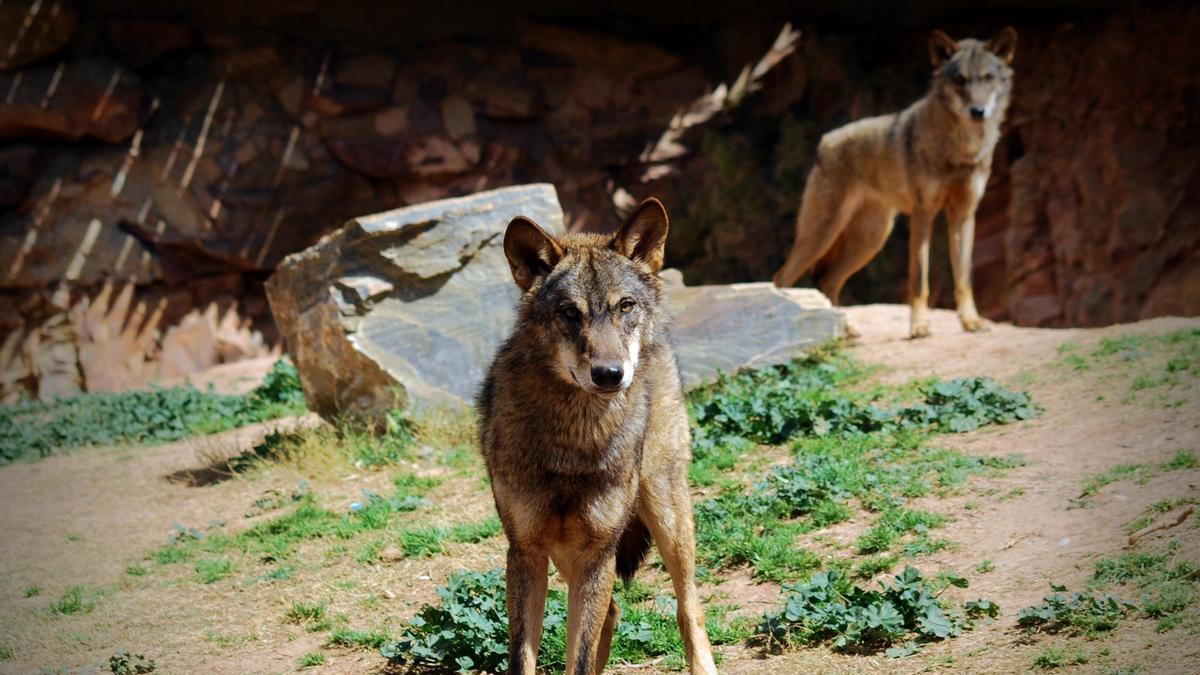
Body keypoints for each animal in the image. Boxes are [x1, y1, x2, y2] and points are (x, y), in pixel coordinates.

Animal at [478, 198, 717, 675]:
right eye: (570, 313)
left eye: (625, 306)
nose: (610, 374)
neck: (574, 440)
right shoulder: (526, 551)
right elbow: (525, 657)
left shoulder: (598, 552)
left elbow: (583, 657)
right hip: (569, 553)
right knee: (612, 612)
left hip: (667, 515)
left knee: (688, 607)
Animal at [773, 27, 1018, 338]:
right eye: (960, 80)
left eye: (987, 78)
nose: (978, 110)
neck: (962, 148)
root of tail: (823, 143)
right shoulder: (923, 213)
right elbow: (919, 279)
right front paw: (920, 327)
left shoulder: (963, 214)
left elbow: (964, 278)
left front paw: (971, 322)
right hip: (823, 234)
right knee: (782, 278)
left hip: (870, 240)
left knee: (827, 280)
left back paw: (844, 331)